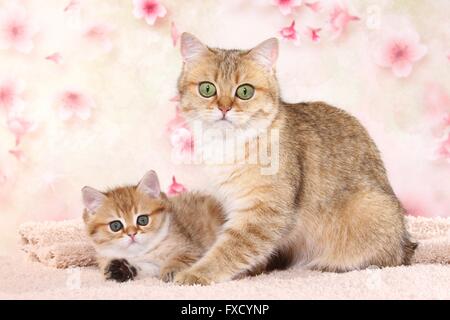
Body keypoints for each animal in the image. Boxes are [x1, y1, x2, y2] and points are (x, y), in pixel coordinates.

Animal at [81, 171, 225, 282]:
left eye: (143, 220)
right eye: (115, 225)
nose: (132, 234)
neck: (144, 253)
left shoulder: (191, 248)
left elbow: (181, 257)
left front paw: (171, 269)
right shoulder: (150, 265)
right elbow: (144, 268)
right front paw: (121, 270)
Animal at [173, 33, 418, 284]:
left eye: (244, 92)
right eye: (207, 89)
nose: (224, 108)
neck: (228, 145)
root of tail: (405, 246)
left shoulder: (264, 213)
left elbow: (230, 249)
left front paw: (196, 273)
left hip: (370, 208)